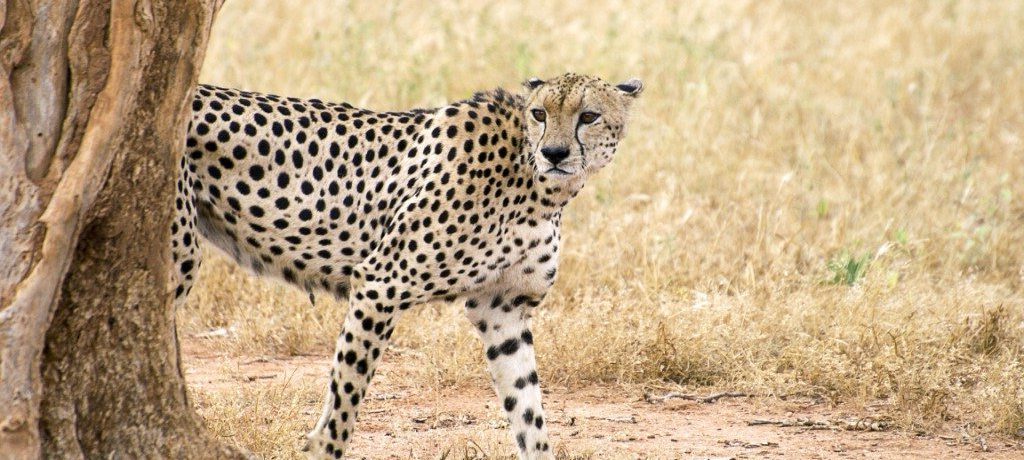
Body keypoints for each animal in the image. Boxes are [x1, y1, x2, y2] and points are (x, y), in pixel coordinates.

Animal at [173, 72, 643, 459]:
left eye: (589, 116)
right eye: (540, 113)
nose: (554, 152)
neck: (536, 182)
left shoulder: (503, 309)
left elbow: (527, 408)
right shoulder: (380, 284)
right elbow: (346, 393)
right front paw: (323, 448)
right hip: (182, 254)